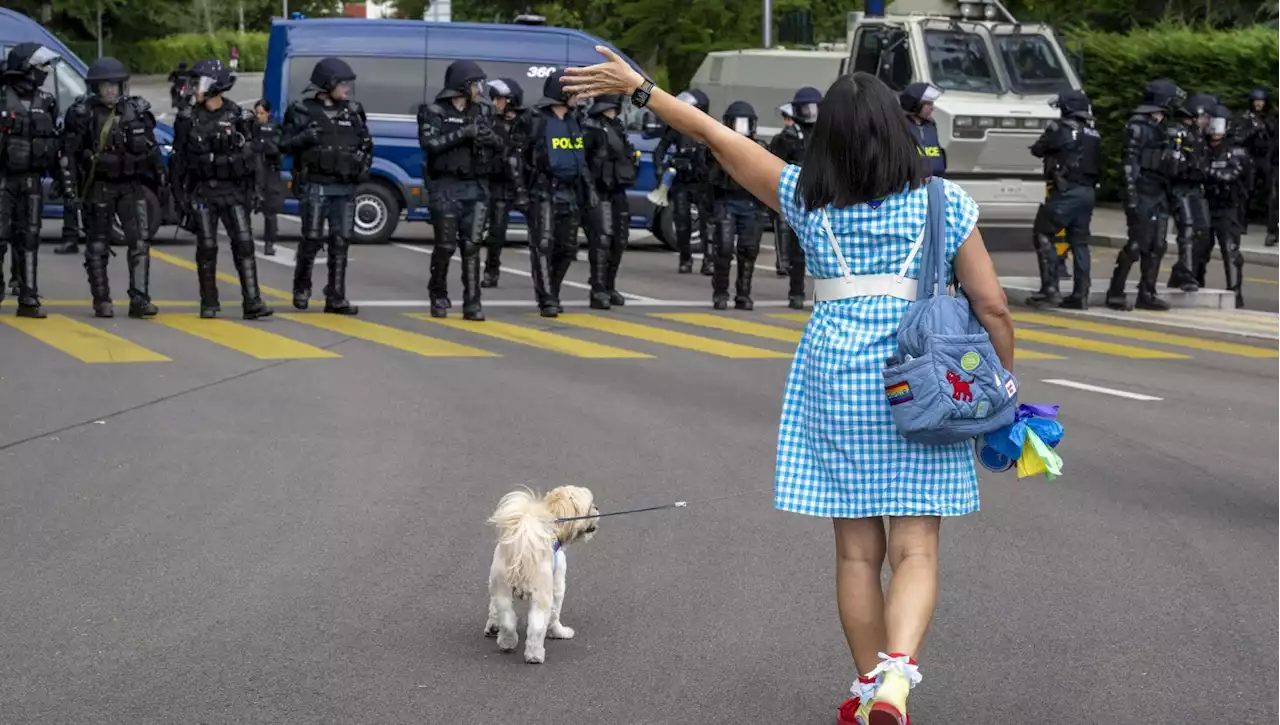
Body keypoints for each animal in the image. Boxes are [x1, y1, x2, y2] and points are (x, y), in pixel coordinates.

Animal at [481, 489, 596, 666]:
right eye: (590, 506)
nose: (597, 509)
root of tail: (523, 548)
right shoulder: (557, 586)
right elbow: (554, 615)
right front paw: (559, 632)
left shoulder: (493, 585)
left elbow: (493, 609)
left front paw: (493, 626)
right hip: (541, 595)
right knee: (536, 627)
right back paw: (535, 655)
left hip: (502, 588)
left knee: (507, 619)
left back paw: (507, 641)